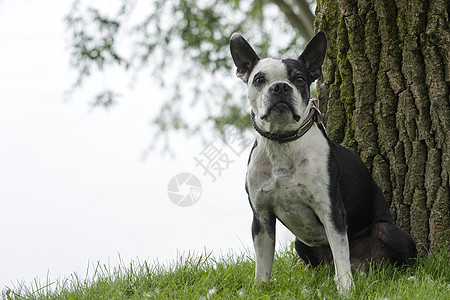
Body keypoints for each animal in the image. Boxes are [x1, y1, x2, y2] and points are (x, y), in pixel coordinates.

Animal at [230, 31, 416, 292]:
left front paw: (346, 291)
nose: (280, 87)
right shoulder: (262, 217)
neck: (283, 143)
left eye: (299, 79)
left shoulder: (332, 211)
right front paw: (260, 290)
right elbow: (263, 263)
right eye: (259, 79)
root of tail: (365, 267)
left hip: (387, 230)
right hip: (301, 244)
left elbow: (341, 256)